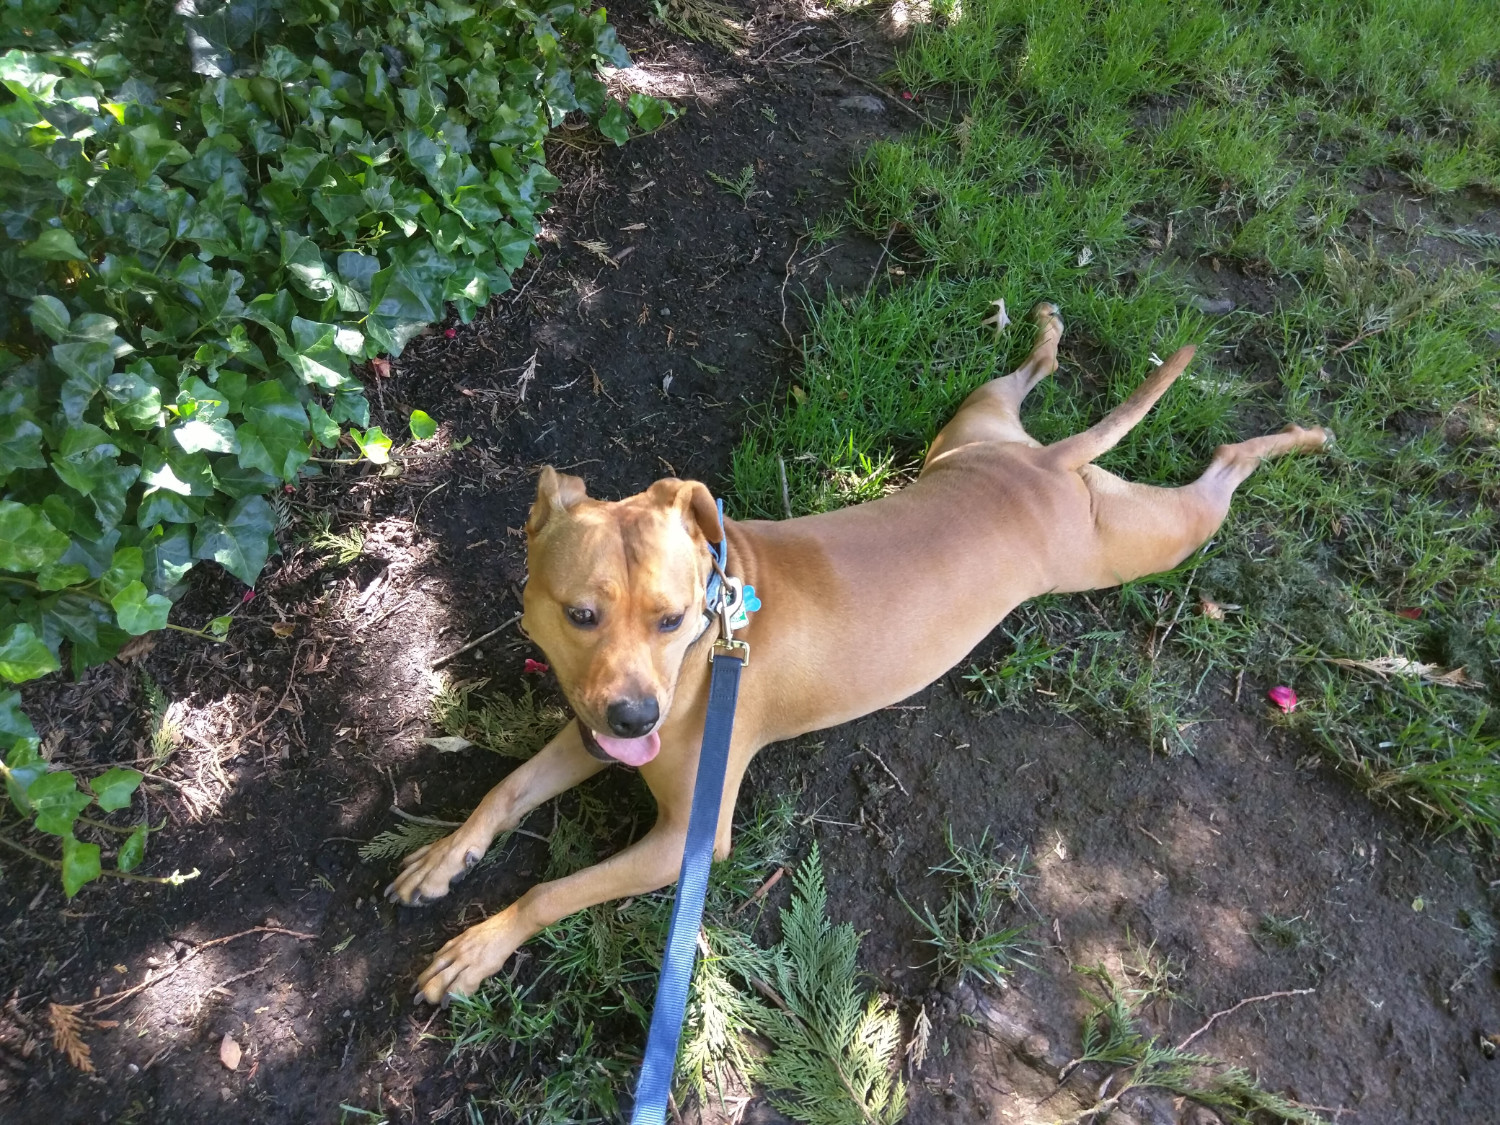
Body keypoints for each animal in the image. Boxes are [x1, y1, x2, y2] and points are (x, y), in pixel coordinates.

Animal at [384, 306, 1326, 1002]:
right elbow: (507, 789)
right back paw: (1049, 336)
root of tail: (1044, 467)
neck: (716, 632)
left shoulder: (685, 838)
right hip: (975, 427)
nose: (635, 713)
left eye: (672, 617)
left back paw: (1293, 441)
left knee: (1222, 467)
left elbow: (554, 888)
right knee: (1028, 381)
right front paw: (446, 853)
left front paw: (481, 942)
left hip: (1144, 541)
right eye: (580, 613)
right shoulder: (588, 731)